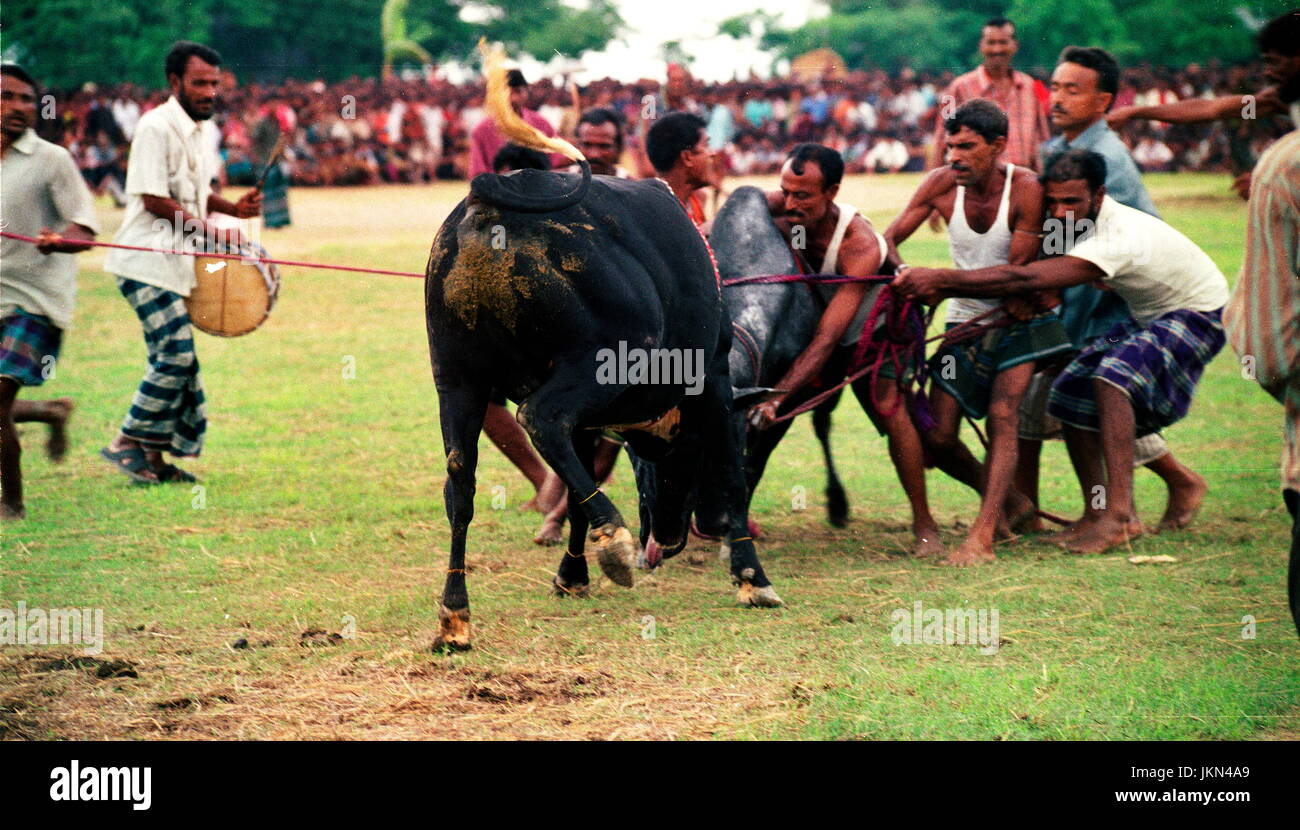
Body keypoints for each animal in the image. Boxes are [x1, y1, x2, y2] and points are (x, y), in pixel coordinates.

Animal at [421, 165, 774, 653]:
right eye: (690, 457)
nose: (668, 541)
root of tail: (489, 200)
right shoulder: (713, 386)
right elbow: (732, 479)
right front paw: (752, 578)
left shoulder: (587, 423)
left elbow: (575, 492)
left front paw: (571, 576)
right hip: (605, 361)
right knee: (538, 418)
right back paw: (613, 537)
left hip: (456, 382)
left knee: (460, 485)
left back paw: (454, 615)